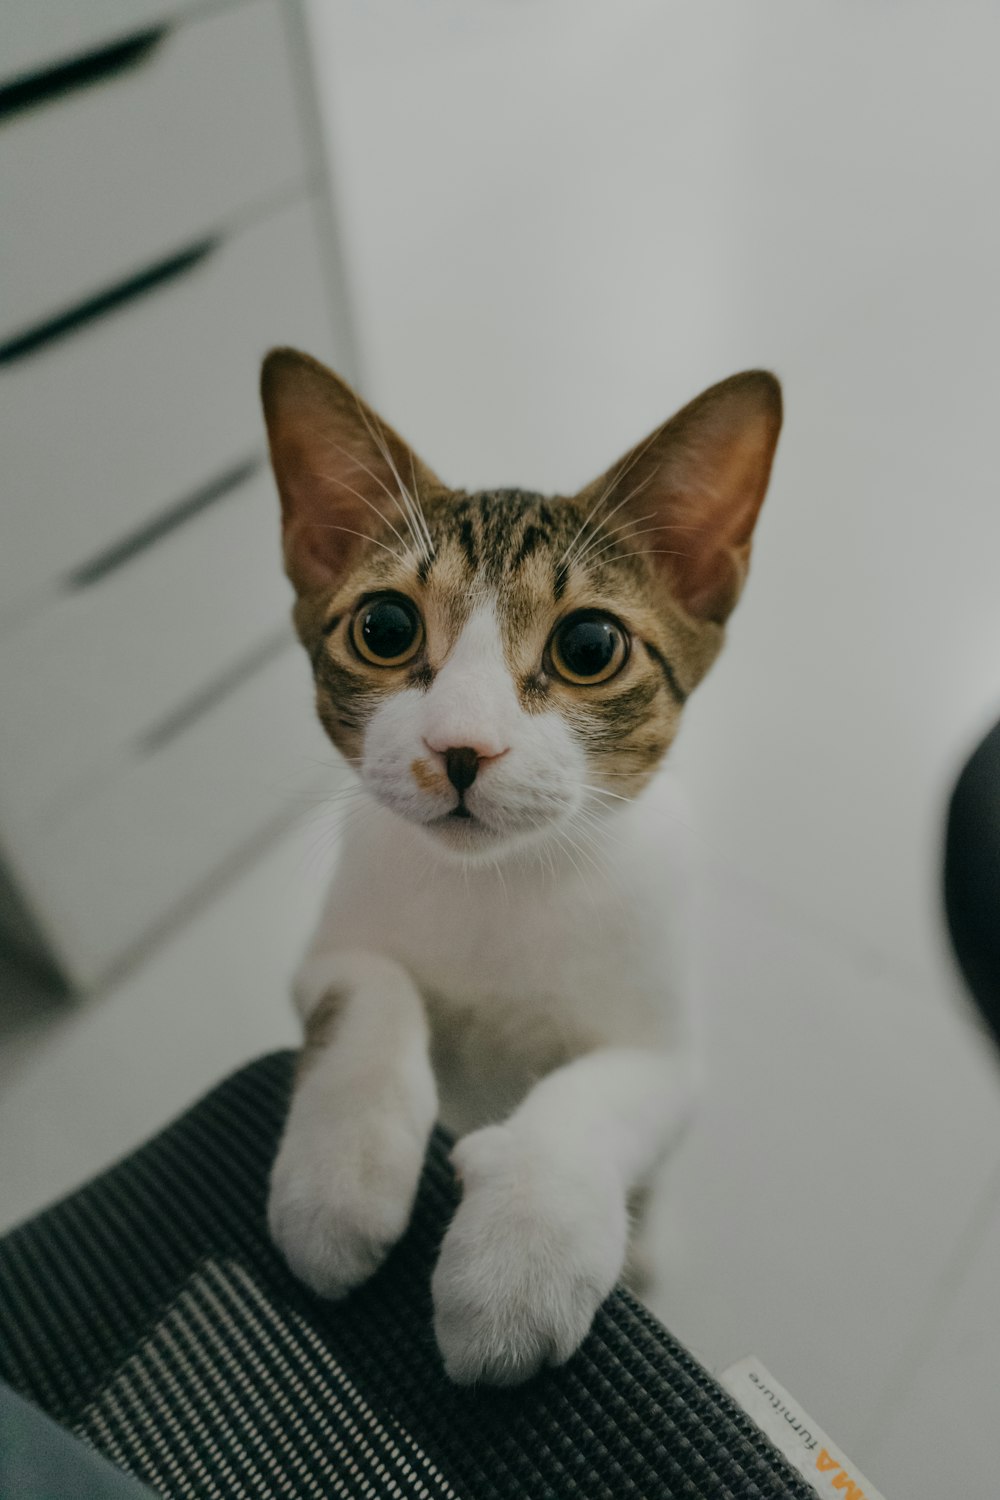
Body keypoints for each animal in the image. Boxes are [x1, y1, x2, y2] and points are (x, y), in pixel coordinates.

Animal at [257, 348, 779, 1380]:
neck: (498, 883)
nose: (461, 748)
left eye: (588, 646)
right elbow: (365, 990)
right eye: (385, 629)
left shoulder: (665, 1050)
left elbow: (597, 1094)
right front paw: (342, 1174)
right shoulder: (332, 944)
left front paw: (524, 1248)